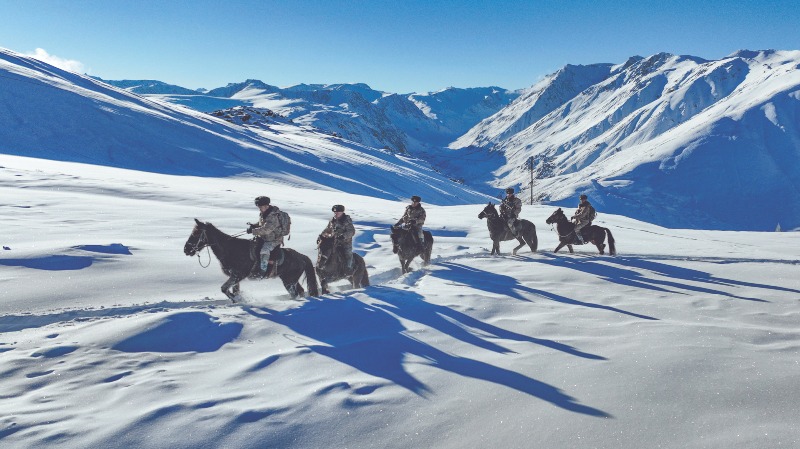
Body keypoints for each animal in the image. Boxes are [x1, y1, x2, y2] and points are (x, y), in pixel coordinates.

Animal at [182, 218, 318, 300]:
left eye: (196, 233)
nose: (186, 249)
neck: (230, 248)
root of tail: (302, 257)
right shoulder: (235, 278)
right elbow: (233, 290)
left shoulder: (237, 275)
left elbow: (224, 289)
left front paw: (237, 299)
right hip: (291, 280)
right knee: (300, 291)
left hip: (289, 281)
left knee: (295, 293)